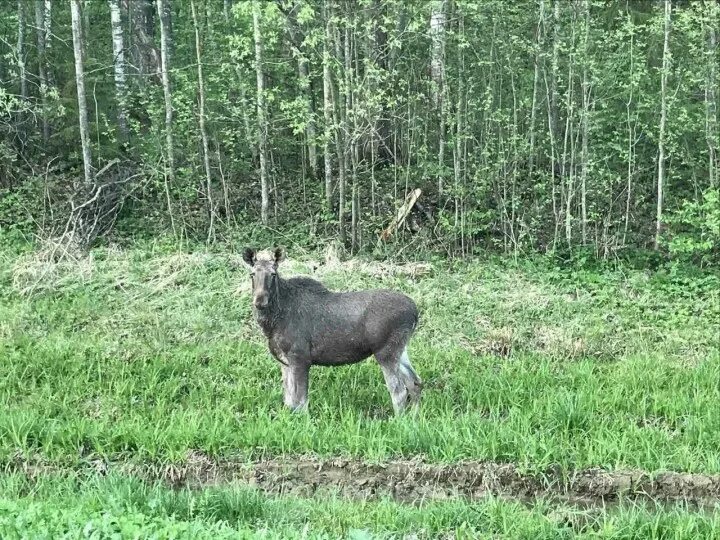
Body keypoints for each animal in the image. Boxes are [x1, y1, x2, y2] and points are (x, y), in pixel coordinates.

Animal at [243, 247, 422, 416]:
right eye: (252, 274)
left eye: (273, 274)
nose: (259, 301)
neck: (272, 324)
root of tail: (415, 312)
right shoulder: (284, 362)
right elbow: (288, 401)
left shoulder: (300, 358)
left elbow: (300, 402)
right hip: (400, 348)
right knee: (415, 382)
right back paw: (414, 418)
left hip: (386, 351)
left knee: (399, 391)